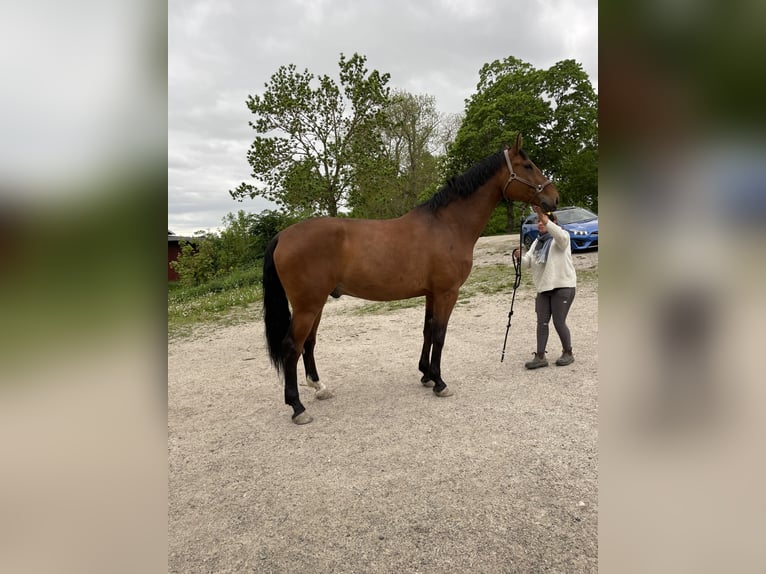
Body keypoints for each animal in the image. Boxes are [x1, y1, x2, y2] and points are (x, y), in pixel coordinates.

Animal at [262, 134, 559, 424]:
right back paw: (297, 407)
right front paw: (440, 382)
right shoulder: (447, 293)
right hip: (307, 306)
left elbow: (427, 331)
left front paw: (426, 374)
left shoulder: (431, 294)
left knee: (308, 343)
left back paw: (319, 387)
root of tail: (283, 236)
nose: (554, 198)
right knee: (292, 346)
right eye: (528, 166)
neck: (447, 224)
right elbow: (440, 334)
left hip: (316, 304)